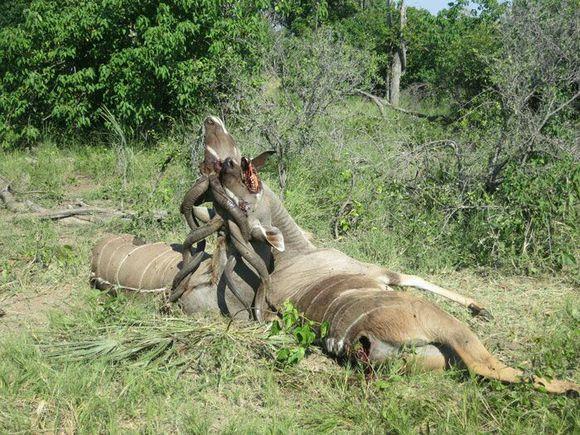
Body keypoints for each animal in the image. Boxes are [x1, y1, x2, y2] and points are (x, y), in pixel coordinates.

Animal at [89, 120, 576, 396]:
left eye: (230, 175)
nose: (227, 160)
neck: (292, 253)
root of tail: (357, 340)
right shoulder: (379, 272)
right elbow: (410, 273)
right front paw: (483, 305)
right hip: (455, 336)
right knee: (503, 370)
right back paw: (567, 385)